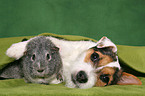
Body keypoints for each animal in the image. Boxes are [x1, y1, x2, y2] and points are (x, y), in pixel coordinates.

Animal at [5, 35, 142, 89]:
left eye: (104, 78)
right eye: (95, 56)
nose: (82, 76)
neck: (70, 65)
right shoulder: (64, 45)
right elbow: (48, 40)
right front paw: (16, 49)